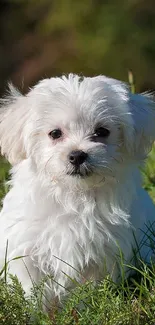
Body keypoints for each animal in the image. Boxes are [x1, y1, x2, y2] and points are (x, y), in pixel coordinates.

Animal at [0, 74, 155, 302]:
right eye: (55, 133)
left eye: (102, 131)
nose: (77, 155)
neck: (74, 195)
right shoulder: (26, 248)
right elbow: (31, 287)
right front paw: (34, 308)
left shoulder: (104, 253)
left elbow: (89, 290)